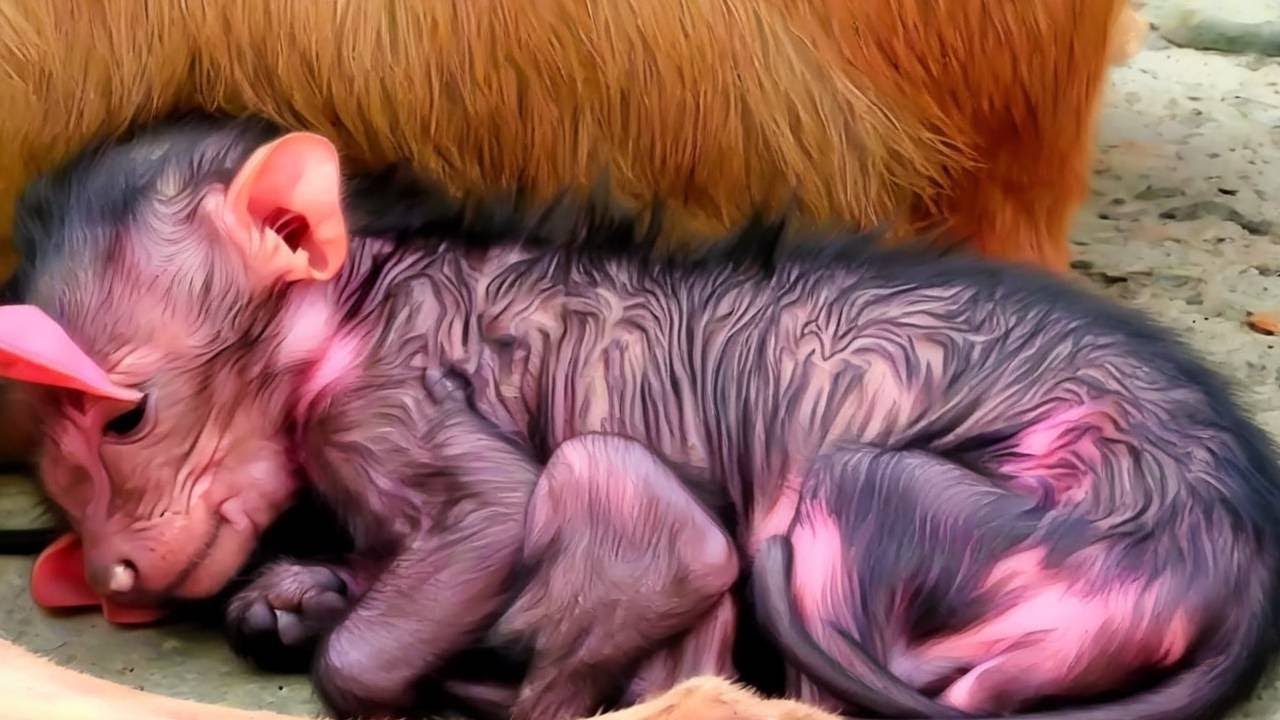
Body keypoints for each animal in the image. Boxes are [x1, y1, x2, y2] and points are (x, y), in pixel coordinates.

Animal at [3, 114, 1278, 720]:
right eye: (56, 484)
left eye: (126, 420)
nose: (108, 569)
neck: (361, 295)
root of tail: (1238, 569)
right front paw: (293, 595)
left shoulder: (390, 397)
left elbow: (487, 519)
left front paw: (361, 649)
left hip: (967, 518)